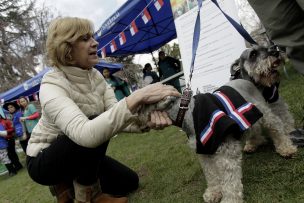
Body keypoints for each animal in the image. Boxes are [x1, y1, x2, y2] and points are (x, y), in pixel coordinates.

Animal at [141, 45, 298, 202]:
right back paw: (254, 143)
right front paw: (213, 192)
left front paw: (229, 199)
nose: (275, 51)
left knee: (277, 126)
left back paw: (286, 147)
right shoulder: (205, 153)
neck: (188, 112)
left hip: (264, 114)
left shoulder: (226, 153)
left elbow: (230, 182)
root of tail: (246, 81)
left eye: (142, 104)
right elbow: (211, 175)